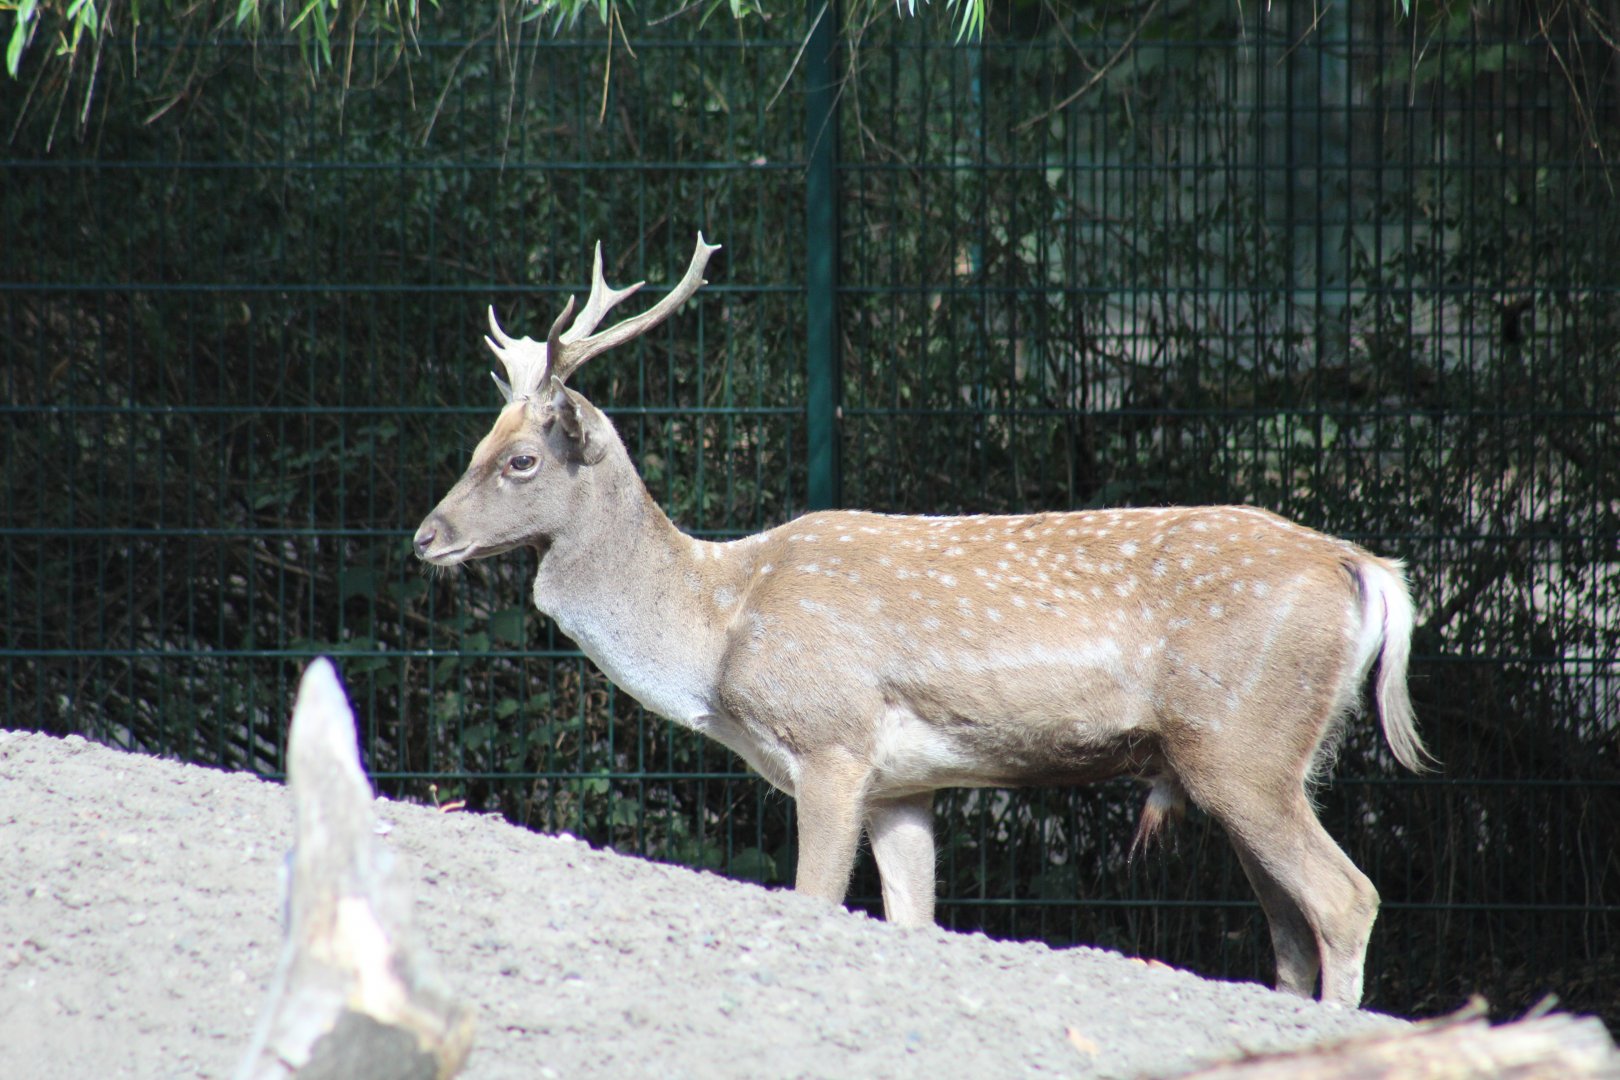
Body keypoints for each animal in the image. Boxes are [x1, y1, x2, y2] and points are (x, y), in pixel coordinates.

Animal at [413, 233, 1430, 1009]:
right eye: (475, 443)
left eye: (521, 460)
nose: (426, 537)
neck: (717, 632)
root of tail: (1366, 570)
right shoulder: (904, 783)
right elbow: (914, 920)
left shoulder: (829, 738)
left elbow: (816, 900)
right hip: (1256, 756)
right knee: (1290, 928)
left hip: (1243, 743)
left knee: (1346, 899)